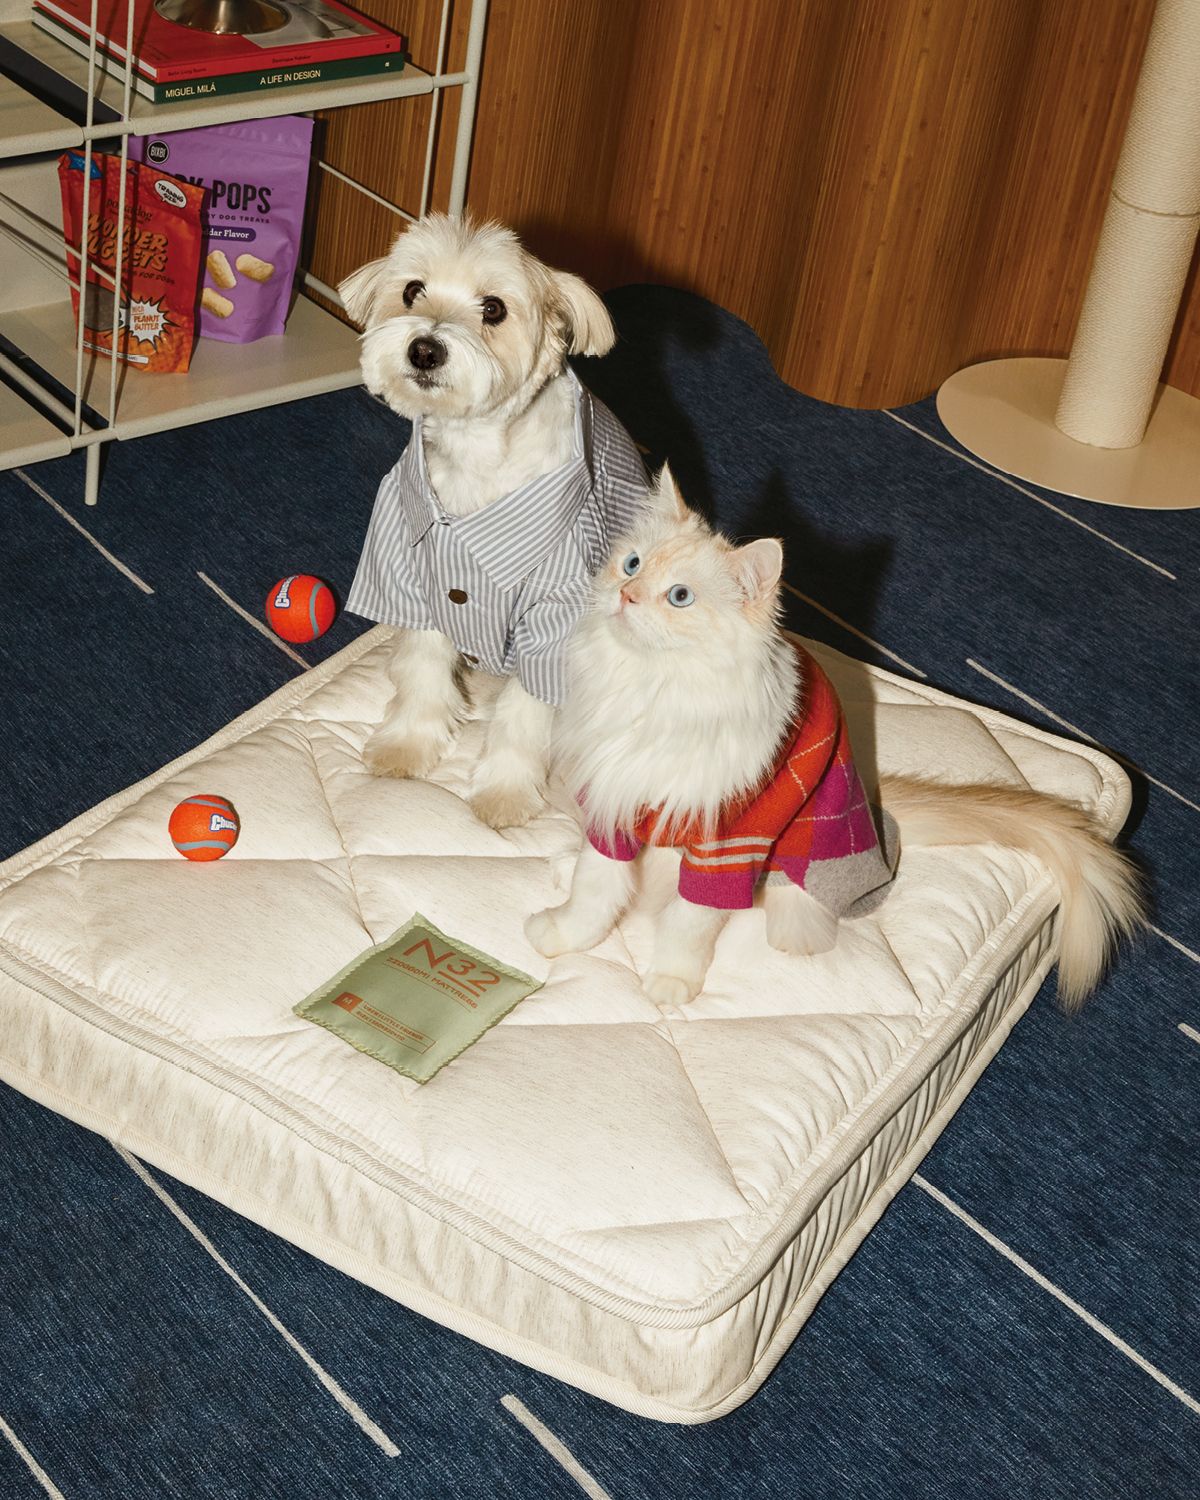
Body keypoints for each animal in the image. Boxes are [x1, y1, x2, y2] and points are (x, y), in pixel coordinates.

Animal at [338, 214, 649, 829]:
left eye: (494, 309)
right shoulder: (417, 572)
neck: (477, 456)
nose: (425, 349)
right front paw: (407, 745)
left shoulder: (556, 625)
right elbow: (423, 672)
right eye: (412, 290)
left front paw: (504, 791)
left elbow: (524, 718)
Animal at [524, 465, 1145, 1009]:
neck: (651, 690)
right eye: (630, 564)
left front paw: (672, 983)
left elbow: (688, 925)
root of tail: (871, 805)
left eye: (680, 597)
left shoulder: (726, 848)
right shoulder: (614, 808)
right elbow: (593, 891)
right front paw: (562, 936)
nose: (625, 596)